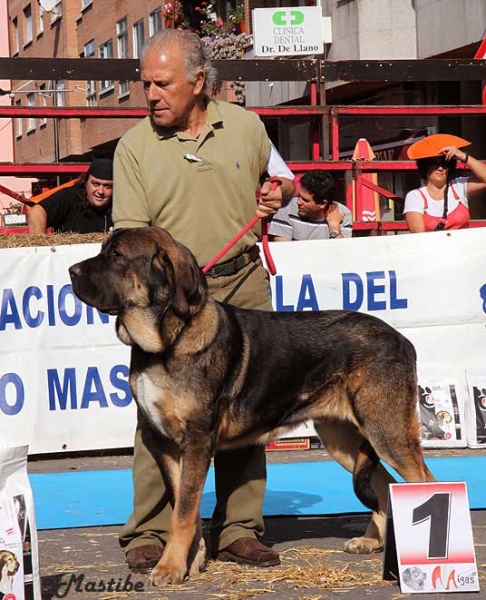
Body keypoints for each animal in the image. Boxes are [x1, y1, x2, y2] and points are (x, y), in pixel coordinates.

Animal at [67, 226, 432, 584]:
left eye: (117, 255)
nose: (71, 271)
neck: (167, 342)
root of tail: (402, 339)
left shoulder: (196, 440)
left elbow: (182, 513)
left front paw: (169, 568)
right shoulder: (166, 442)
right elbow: (184, 505)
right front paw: (192, 561)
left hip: (387, 432)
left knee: (423, 481)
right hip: (344, 439)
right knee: (384, 484)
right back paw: (372, 542)